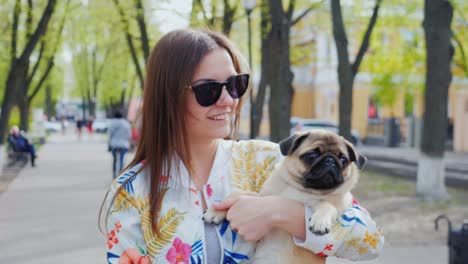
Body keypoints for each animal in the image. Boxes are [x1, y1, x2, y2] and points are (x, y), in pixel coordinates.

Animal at [204, 130, 366, 264]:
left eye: (343, 160)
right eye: (311, 155)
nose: (330, 161)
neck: (301, 188)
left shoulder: (336, 206)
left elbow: (327, 205)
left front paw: (320, 222)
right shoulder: (262, 197)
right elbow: (238, 194)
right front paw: (215, 211)